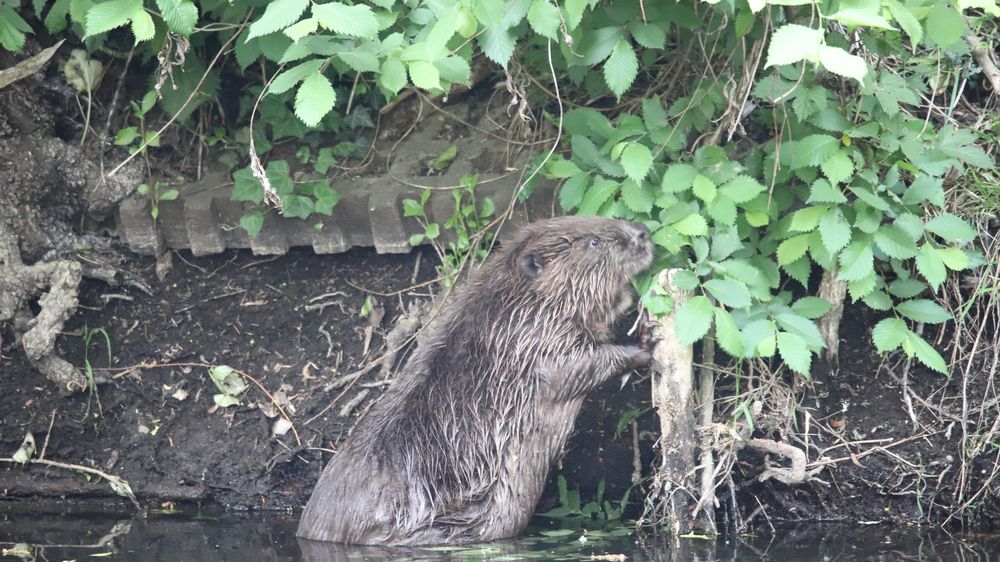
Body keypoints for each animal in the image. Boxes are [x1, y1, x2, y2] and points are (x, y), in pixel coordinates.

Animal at [296, 213, 656, 544]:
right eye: (593, 242)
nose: (643, 232)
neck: (516, 305)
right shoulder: (533, 340)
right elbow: (575, 368)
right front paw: (644, 341)